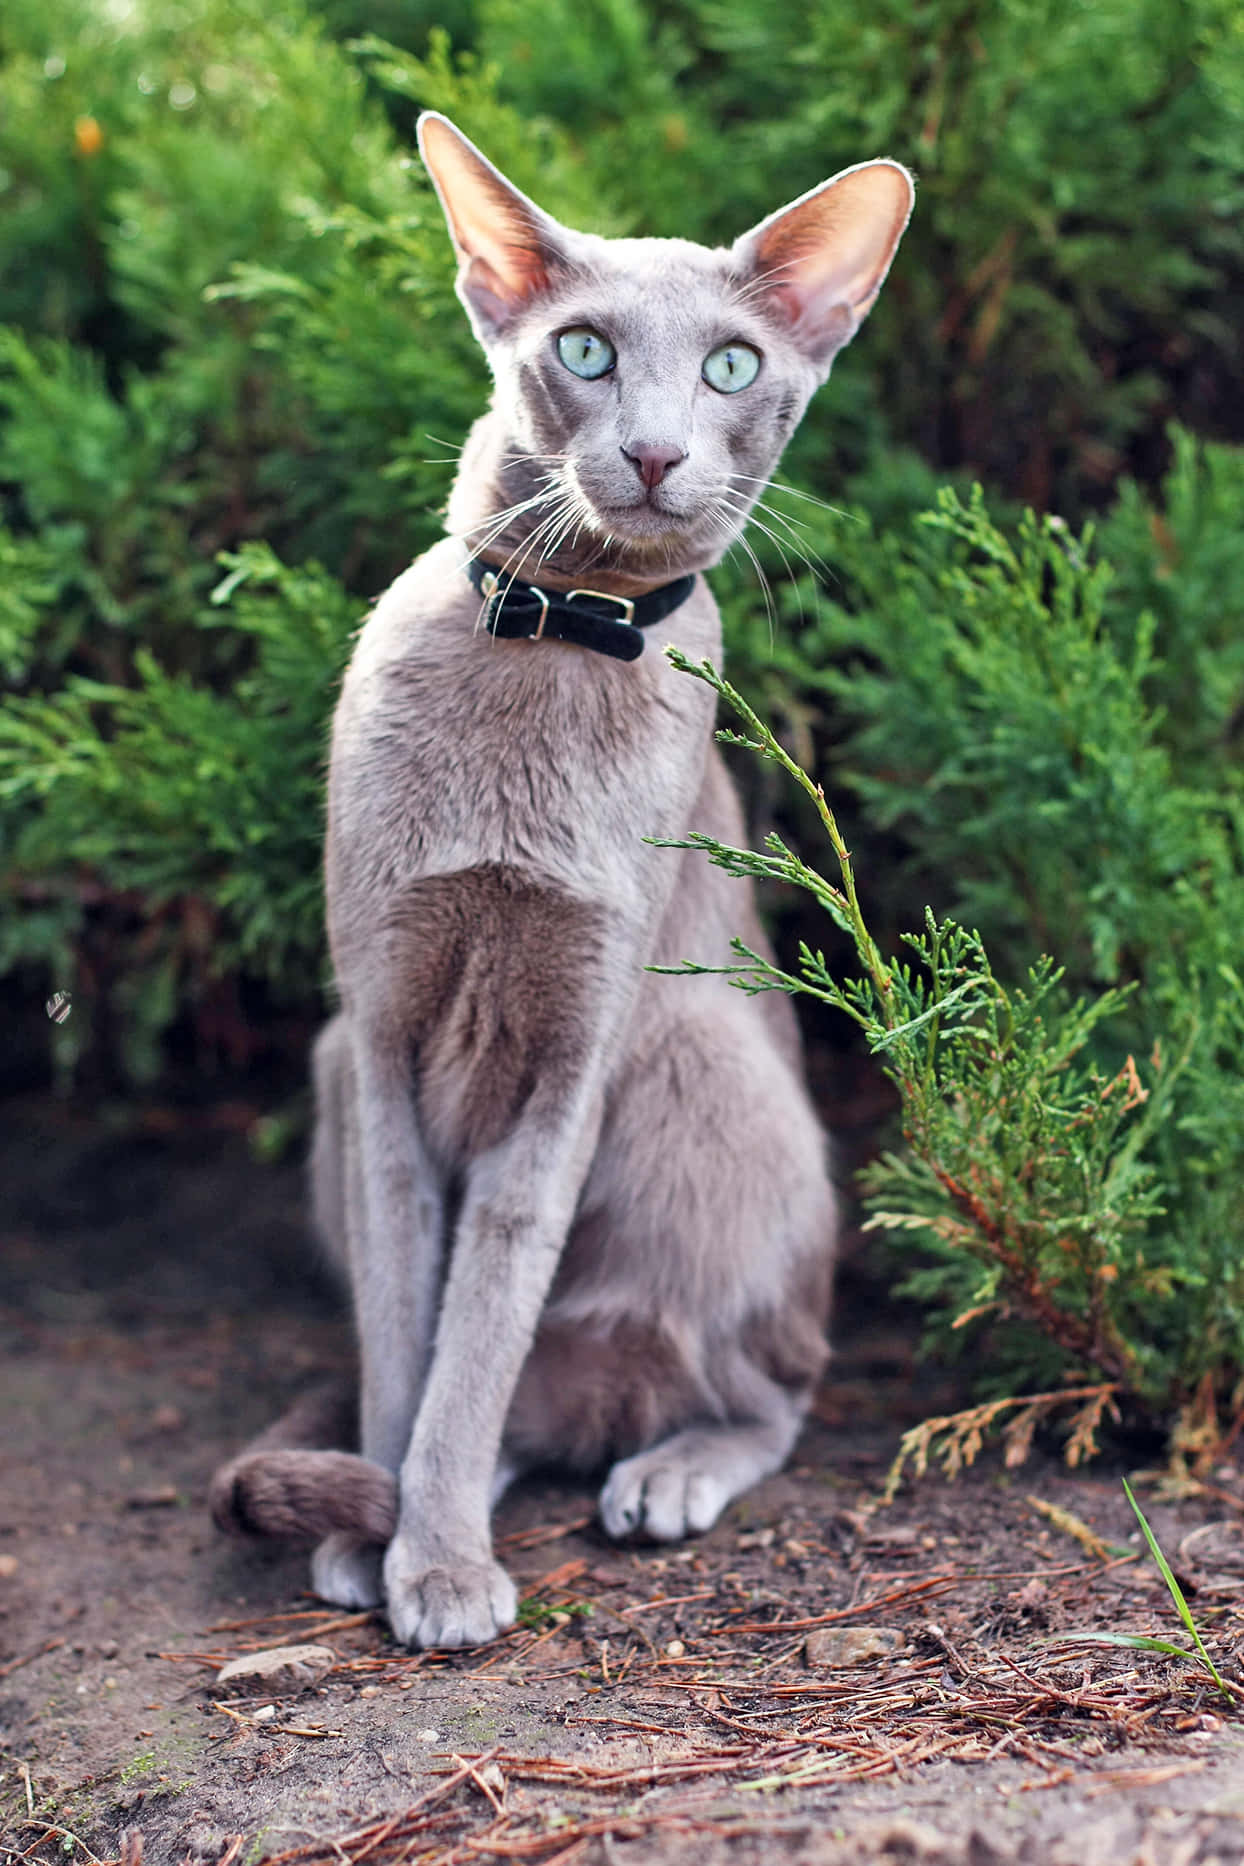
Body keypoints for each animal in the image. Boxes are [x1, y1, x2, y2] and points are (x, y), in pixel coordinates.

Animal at [211, 109, 913, 1649]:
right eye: (584, 349)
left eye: (729, 366)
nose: (651, 451)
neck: (553, 632)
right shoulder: (384, 1037)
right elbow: (412, 1331)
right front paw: (378, 1538)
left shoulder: (569, 1061)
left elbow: (480, 1320)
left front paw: (435, 1564)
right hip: (338, 1063)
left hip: (709, 1063)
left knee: (768, 1380)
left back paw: (664, 1475)